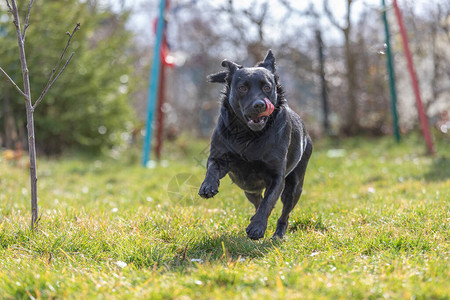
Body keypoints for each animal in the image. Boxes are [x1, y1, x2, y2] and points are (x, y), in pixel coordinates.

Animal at [199, 50, 312, 240]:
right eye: (242, 88)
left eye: (267, 87)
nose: (259, 105)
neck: (248, 135)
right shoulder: (220, 157)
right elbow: (212, 168)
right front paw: (208, 186)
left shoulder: (277, 177)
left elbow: (268, 202)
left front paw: (257, 228)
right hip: (249, 189)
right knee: (257, 200)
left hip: (294, 187)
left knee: (283, 212)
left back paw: (278, 234)